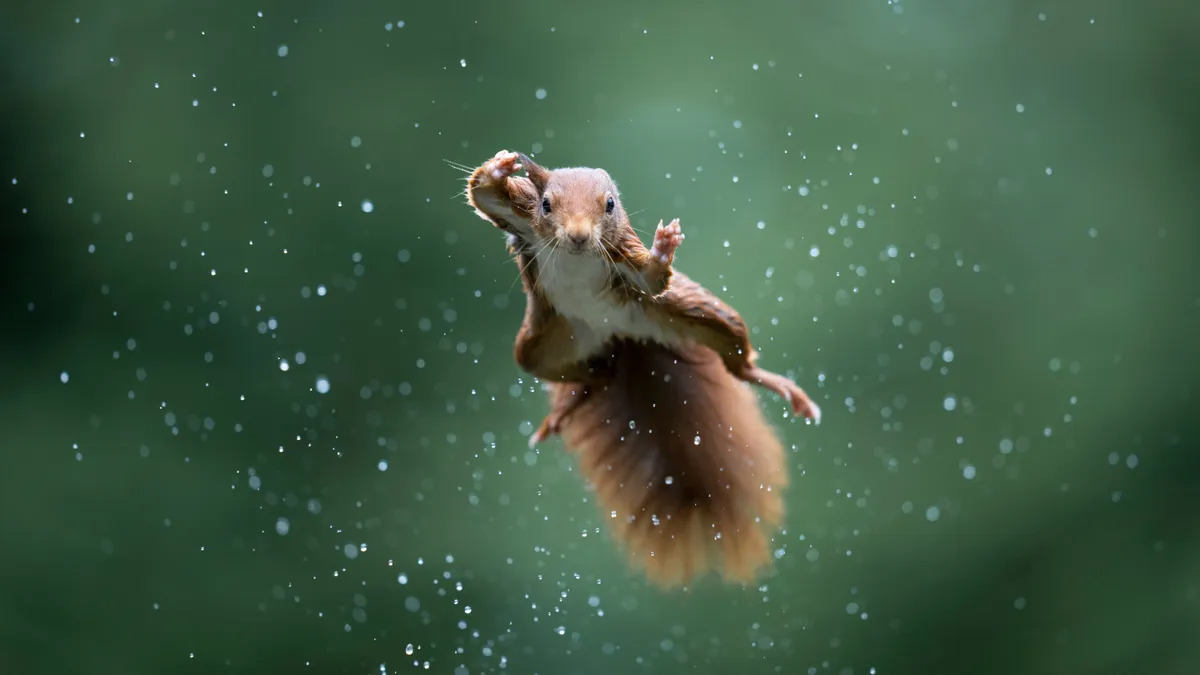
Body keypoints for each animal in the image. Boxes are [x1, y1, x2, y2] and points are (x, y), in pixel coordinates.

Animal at [464, 150, 821, 589]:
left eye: (610, 205)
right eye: (546, 204)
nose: (579, 236)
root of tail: (620, 337)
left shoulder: (623, 258)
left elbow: (651, 278)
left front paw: (663, 247)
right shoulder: (522, 218)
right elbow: (484, 195)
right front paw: (500, 166)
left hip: (697, 314)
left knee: (735, 360)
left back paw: (784, 388)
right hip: (541, 345)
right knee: (593, 376)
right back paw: (565, 410)